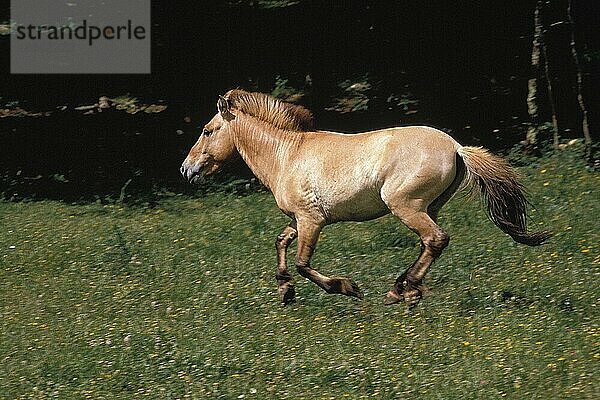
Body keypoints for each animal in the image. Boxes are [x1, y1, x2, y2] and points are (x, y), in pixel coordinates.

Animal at [180, 90, 552, 306]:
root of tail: (457, 148)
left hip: (406, 206)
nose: (186, 169)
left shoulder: (312, 220)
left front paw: (347, 287)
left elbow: (303, 263)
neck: (288, 156)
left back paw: (403, 290)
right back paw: (405, 287)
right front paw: (285, 291)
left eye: (207, 131)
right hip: (428, 207)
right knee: (429, 243)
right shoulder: (300, 219)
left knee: (436, 239)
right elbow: (281, 242)